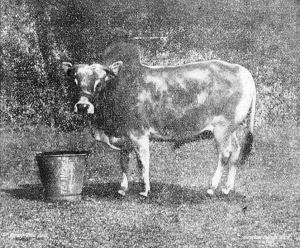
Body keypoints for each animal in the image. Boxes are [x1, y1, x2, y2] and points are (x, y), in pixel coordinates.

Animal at [62, 42, 255, 198]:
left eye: (99, 81)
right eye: (75, 81)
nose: (82, 106)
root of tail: (241, 70)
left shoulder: (139, 134)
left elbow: (142, 163)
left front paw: (145, 190)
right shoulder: (124, 138)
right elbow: (124, 163)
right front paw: (122, 189)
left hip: (222, 129)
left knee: (225, 154)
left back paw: (212, 187)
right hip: (232, 129)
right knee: (236, 151)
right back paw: (227, 188)